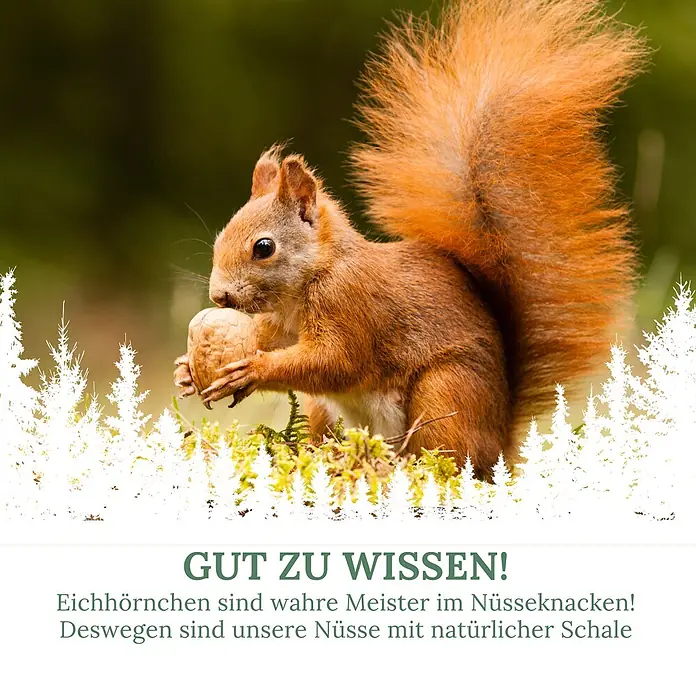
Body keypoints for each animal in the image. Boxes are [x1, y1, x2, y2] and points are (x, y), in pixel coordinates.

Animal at [174, 0, 648, 479]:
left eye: (264, 248)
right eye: (221, 236)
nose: (218, 296)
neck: (308, 281)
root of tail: (500, 443)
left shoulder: (350, 303)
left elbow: (335, 361)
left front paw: (253, 369)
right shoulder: (279, 323)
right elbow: (269, 339)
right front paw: (186, 371)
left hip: (445, 392)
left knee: (446, 454)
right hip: (326, 410)